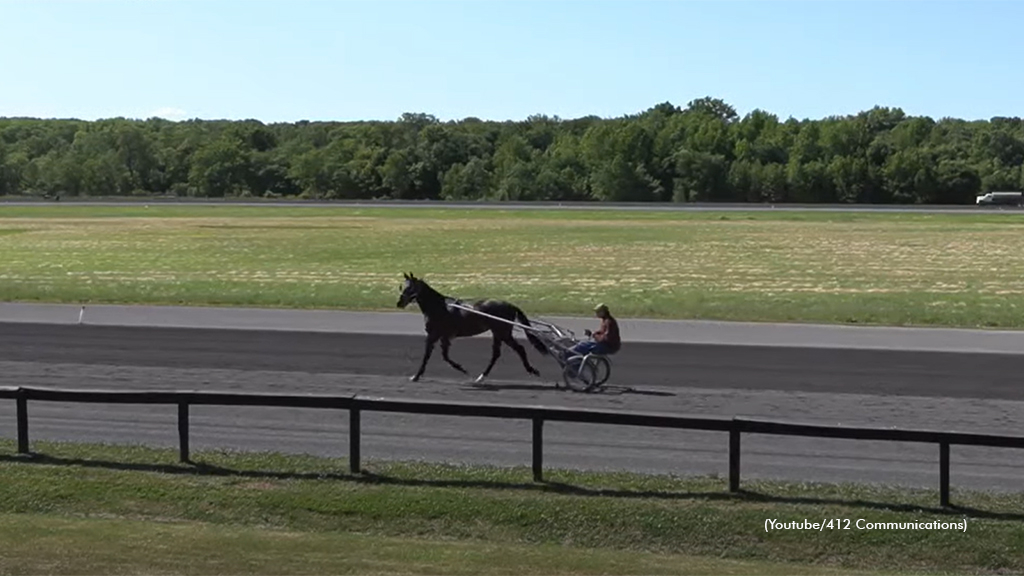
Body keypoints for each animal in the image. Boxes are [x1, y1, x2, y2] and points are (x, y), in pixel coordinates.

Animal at [395, 272, 548, 381]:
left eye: (410, 287)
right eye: (402, 286)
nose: (399, 303)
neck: (439, 307)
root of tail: (510, 305)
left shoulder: (434, 334)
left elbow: (427, 356)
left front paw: (416, 376)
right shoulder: (444, 336)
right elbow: (444, 356)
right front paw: (461, 368)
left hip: (502, 332)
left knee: (519, 349)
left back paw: (530, 370)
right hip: (498, 333)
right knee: (497, 354)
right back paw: (482, 377)